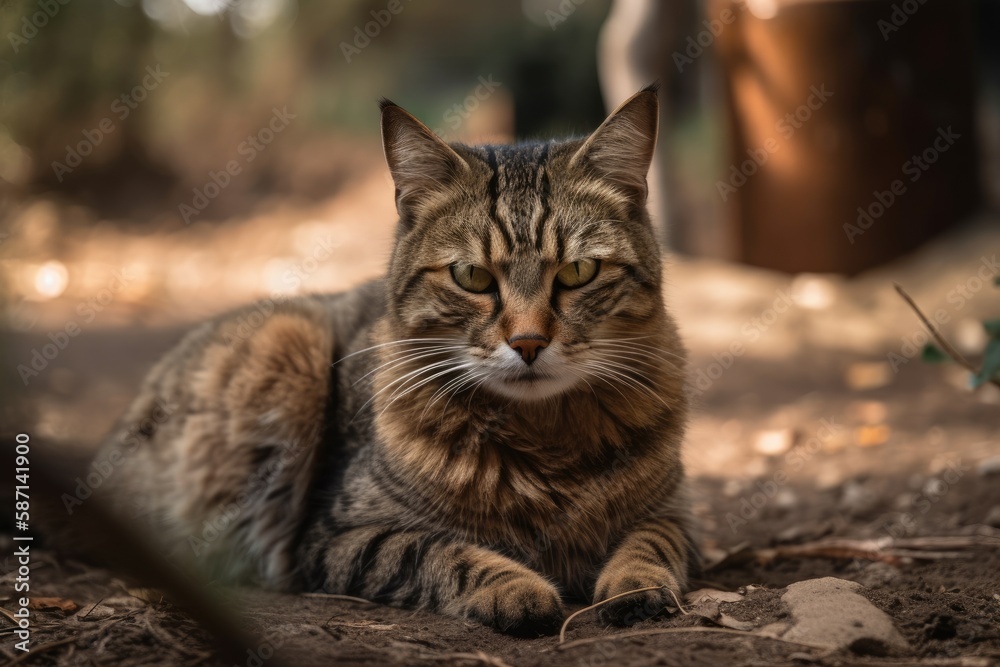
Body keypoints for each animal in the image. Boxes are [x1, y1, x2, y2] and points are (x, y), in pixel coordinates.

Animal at [99, 83, 696, 636]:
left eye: (577, 272)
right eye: (472, 277)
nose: (527, 343)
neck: (544, 440)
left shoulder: (677, 514)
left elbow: (653, 542)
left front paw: (636, 583)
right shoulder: (337, 537)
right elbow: (439, 552)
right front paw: (513, 587)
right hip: (288, 341)